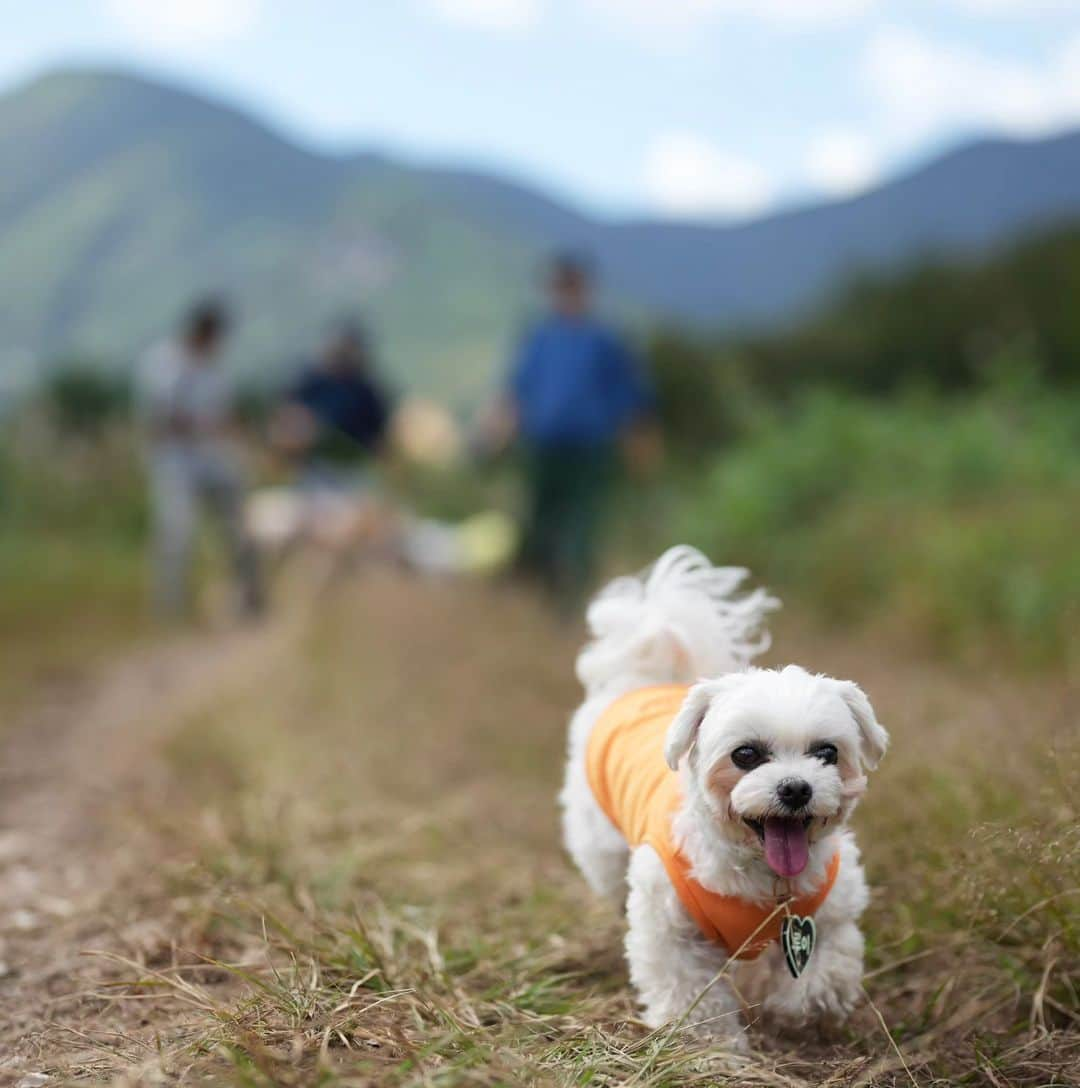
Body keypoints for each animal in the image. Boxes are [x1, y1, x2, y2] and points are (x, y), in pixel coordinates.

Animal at [556, 548, 883, 1048]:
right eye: (745, 754)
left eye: (827, 752)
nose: (795, 788)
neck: (765, 880)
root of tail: (644, 680)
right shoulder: (670, 929)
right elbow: (691, 998)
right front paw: (713, 1050)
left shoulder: (828, 914)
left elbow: (822, 979)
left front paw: (788, 1011)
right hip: (602, 849)